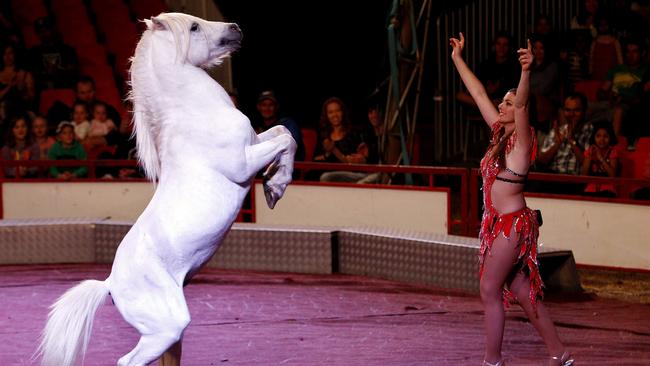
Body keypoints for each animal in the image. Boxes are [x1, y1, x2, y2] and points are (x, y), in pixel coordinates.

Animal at [36, 12, 294, 366]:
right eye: (195, 26)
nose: (236, 29)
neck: (196, 113)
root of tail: (110, 284)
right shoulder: (243, 164)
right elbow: (285, 139)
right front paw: (274, 187)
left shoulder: (255, 142)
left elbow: (283, 133)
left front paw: (274, 185)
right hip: (167, 327)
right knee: (127, 361)